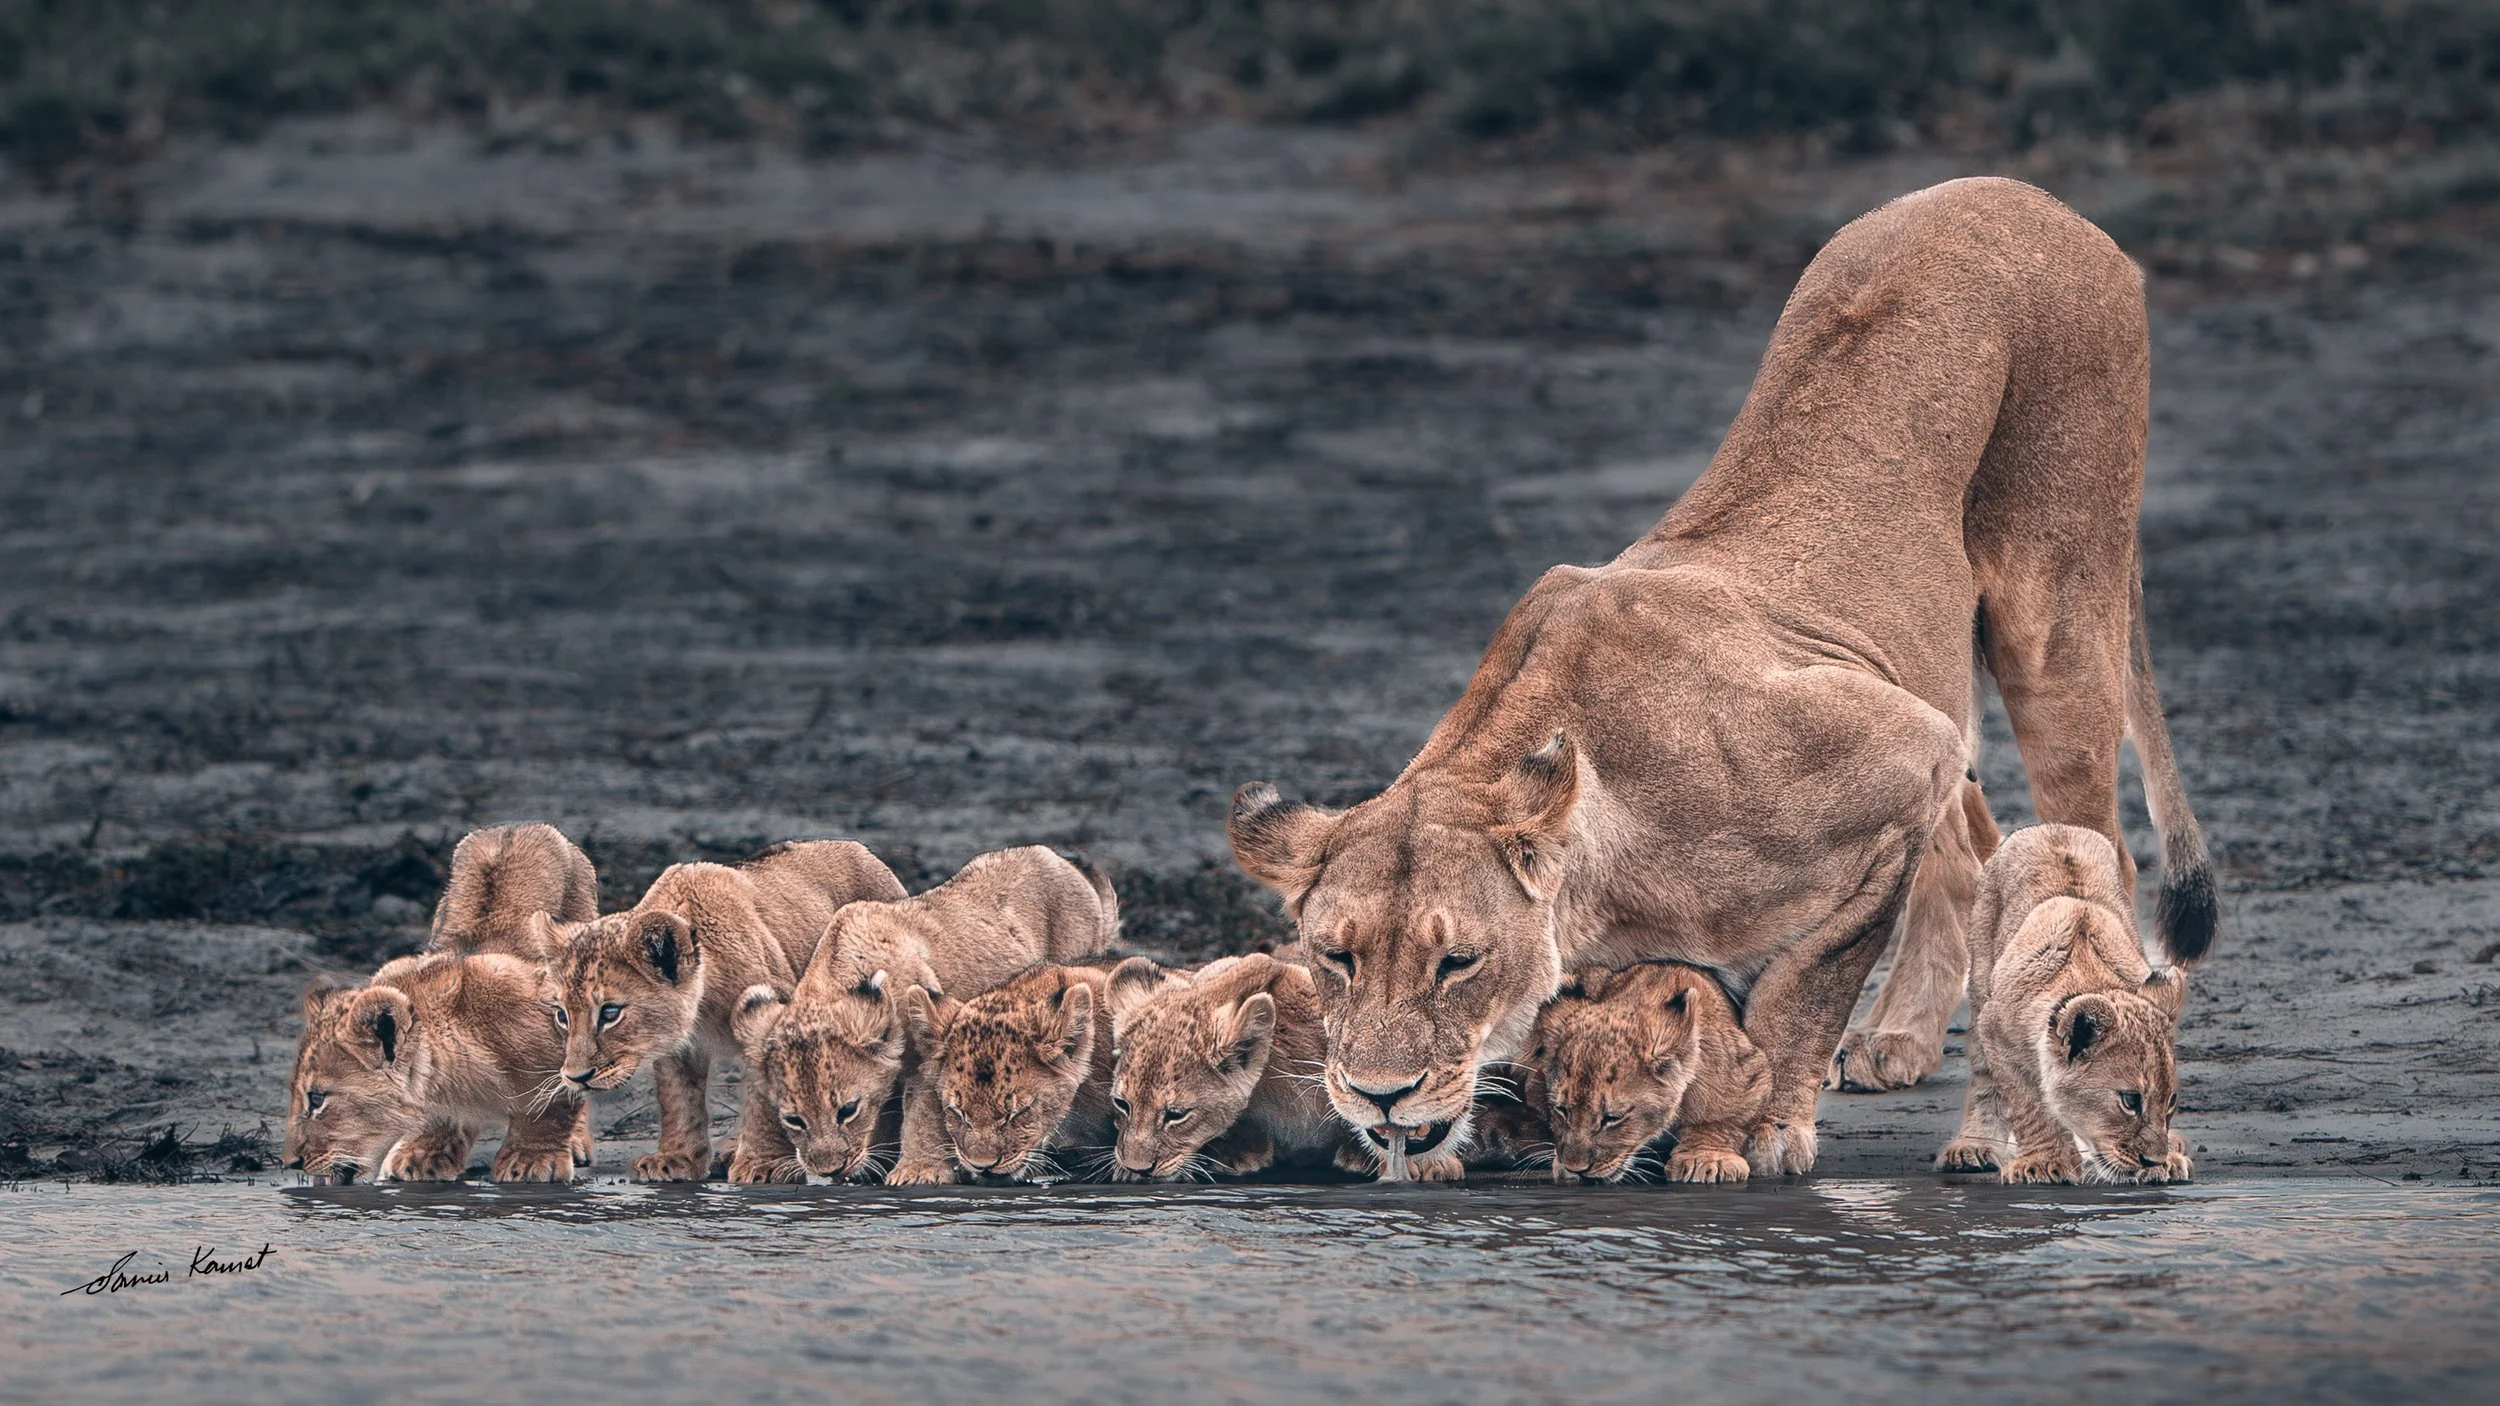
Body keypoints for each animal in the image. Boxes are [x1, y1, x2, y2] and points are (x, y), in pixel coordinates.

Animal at [546, 839, 904, 1182]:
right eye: (563, 1015)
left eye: (610, 1013)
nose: (575, 1078)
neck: (702, 1013)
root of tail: (863, 850)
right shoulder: (678, 1050)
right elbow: (679, 1101)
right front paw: (676, 1160)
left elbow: (763, 1105)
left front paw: (763, 1164)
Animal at [1524, 963, 1770, 1184]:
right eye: (1562, 1110)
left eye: (1612, 1118)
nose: (1575, 1168)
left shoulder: (1743, 1068)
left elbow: (1720, 1115)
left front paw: (1706, 1157)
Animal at [1936, 824, 2195, 1184]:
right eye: (2131, 1100)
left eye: (2171, 1100)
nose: (2152, 1160)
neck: (2088, 974)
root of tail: (2053, 827)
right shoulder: (1997, 1035)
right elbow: (2029, 1102)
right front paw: (2045, 1161)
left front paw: (2168, 1159)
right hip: (1980, 978)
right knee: (1983, 1077)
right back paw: (1972, 1145)